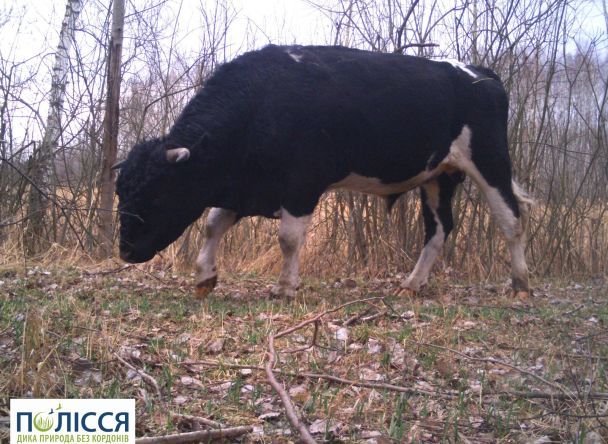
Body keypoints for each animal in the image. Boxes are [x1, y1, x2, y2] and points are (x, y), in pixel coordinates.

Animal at [114, 45, 532, 298]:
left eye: (156, 193)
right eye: (121, 191)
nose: (126, 250)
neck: (262, 103)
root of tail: (478, 72)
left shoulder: (302, 185)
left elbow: (288, 239)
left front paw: (285, 287)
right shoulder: (247, 186)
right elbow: (212, 225)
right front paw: (205, 277)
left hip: (490, 161)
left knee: (510, 220)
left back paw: (520, 283)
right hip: (437, 176)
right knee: (440, 228)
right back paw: (412, 284)